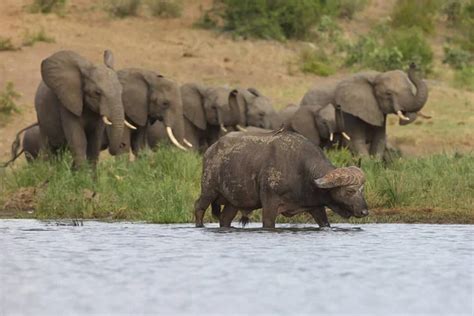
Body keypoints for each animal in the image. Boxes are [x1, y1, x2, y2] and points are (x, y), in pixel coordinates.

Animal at [194, 130, 368, 228]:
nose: (365, 211)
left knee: (224, 219)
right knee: (198, 207)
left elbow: (325, 223)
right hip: (208, 190)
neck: (301, 171)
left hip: (233, 203)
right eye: (350, 190)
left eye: (362, 190)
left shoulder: (316, 207)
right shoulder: (269, 205)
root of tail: (210, 150)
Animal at [302, 64, 432, 158]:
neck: (376, 76)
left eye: (410, 89)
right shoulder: (350, 111)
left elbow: (379, 140)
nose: (413, 64)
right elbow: (355, 141)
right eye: (388, 94)